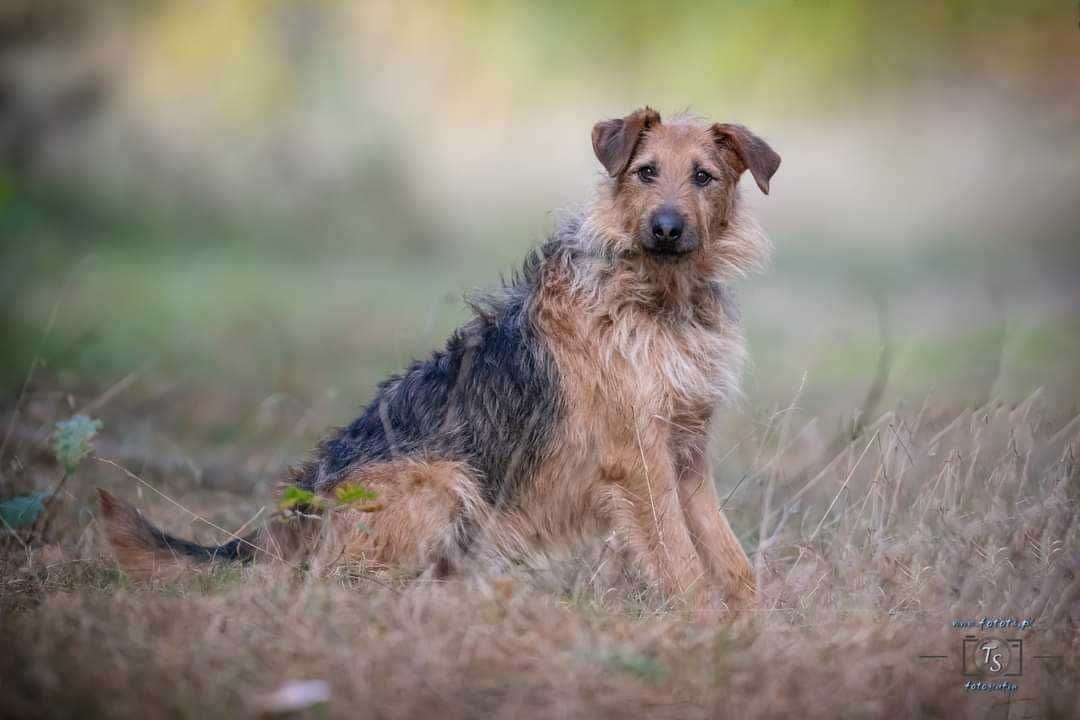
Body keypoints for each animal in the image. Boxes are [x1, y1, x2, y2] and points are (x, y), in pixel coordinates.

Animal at [99, 106, 777, 613]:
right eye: (645, 171)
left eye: (704, 177)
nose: (666, 228)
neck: (659, 298)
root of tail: (298, 509)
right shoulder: (639, 459)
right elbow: (680, 557)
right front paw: (700, 624)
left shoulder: (686, 453)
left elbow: (727, 554)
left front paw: (751, 622)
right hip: (445, 479)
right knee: (346, 585)